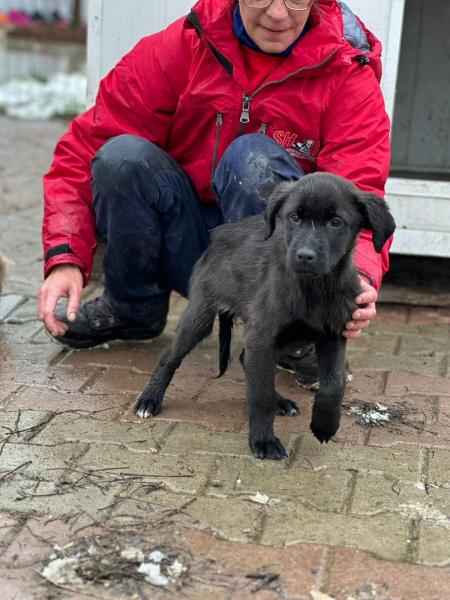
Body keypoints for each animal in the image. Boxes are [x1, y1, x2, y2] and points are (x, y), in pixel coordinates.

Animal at [134, 173, 396, 460]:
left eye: (336, 222)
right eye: (294, 217)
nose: (304, 256)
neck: (313, 288)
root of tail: (217, 237)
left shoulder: (334, 334)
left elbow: (334, 383)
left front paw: (325, 424)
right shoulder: (263, 335)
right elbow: (260, 397)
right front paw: (263, 440)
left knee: (245, 358)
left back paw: (280, 401)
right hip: (201, 315)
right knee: (170, 356)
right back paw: (149, 399)